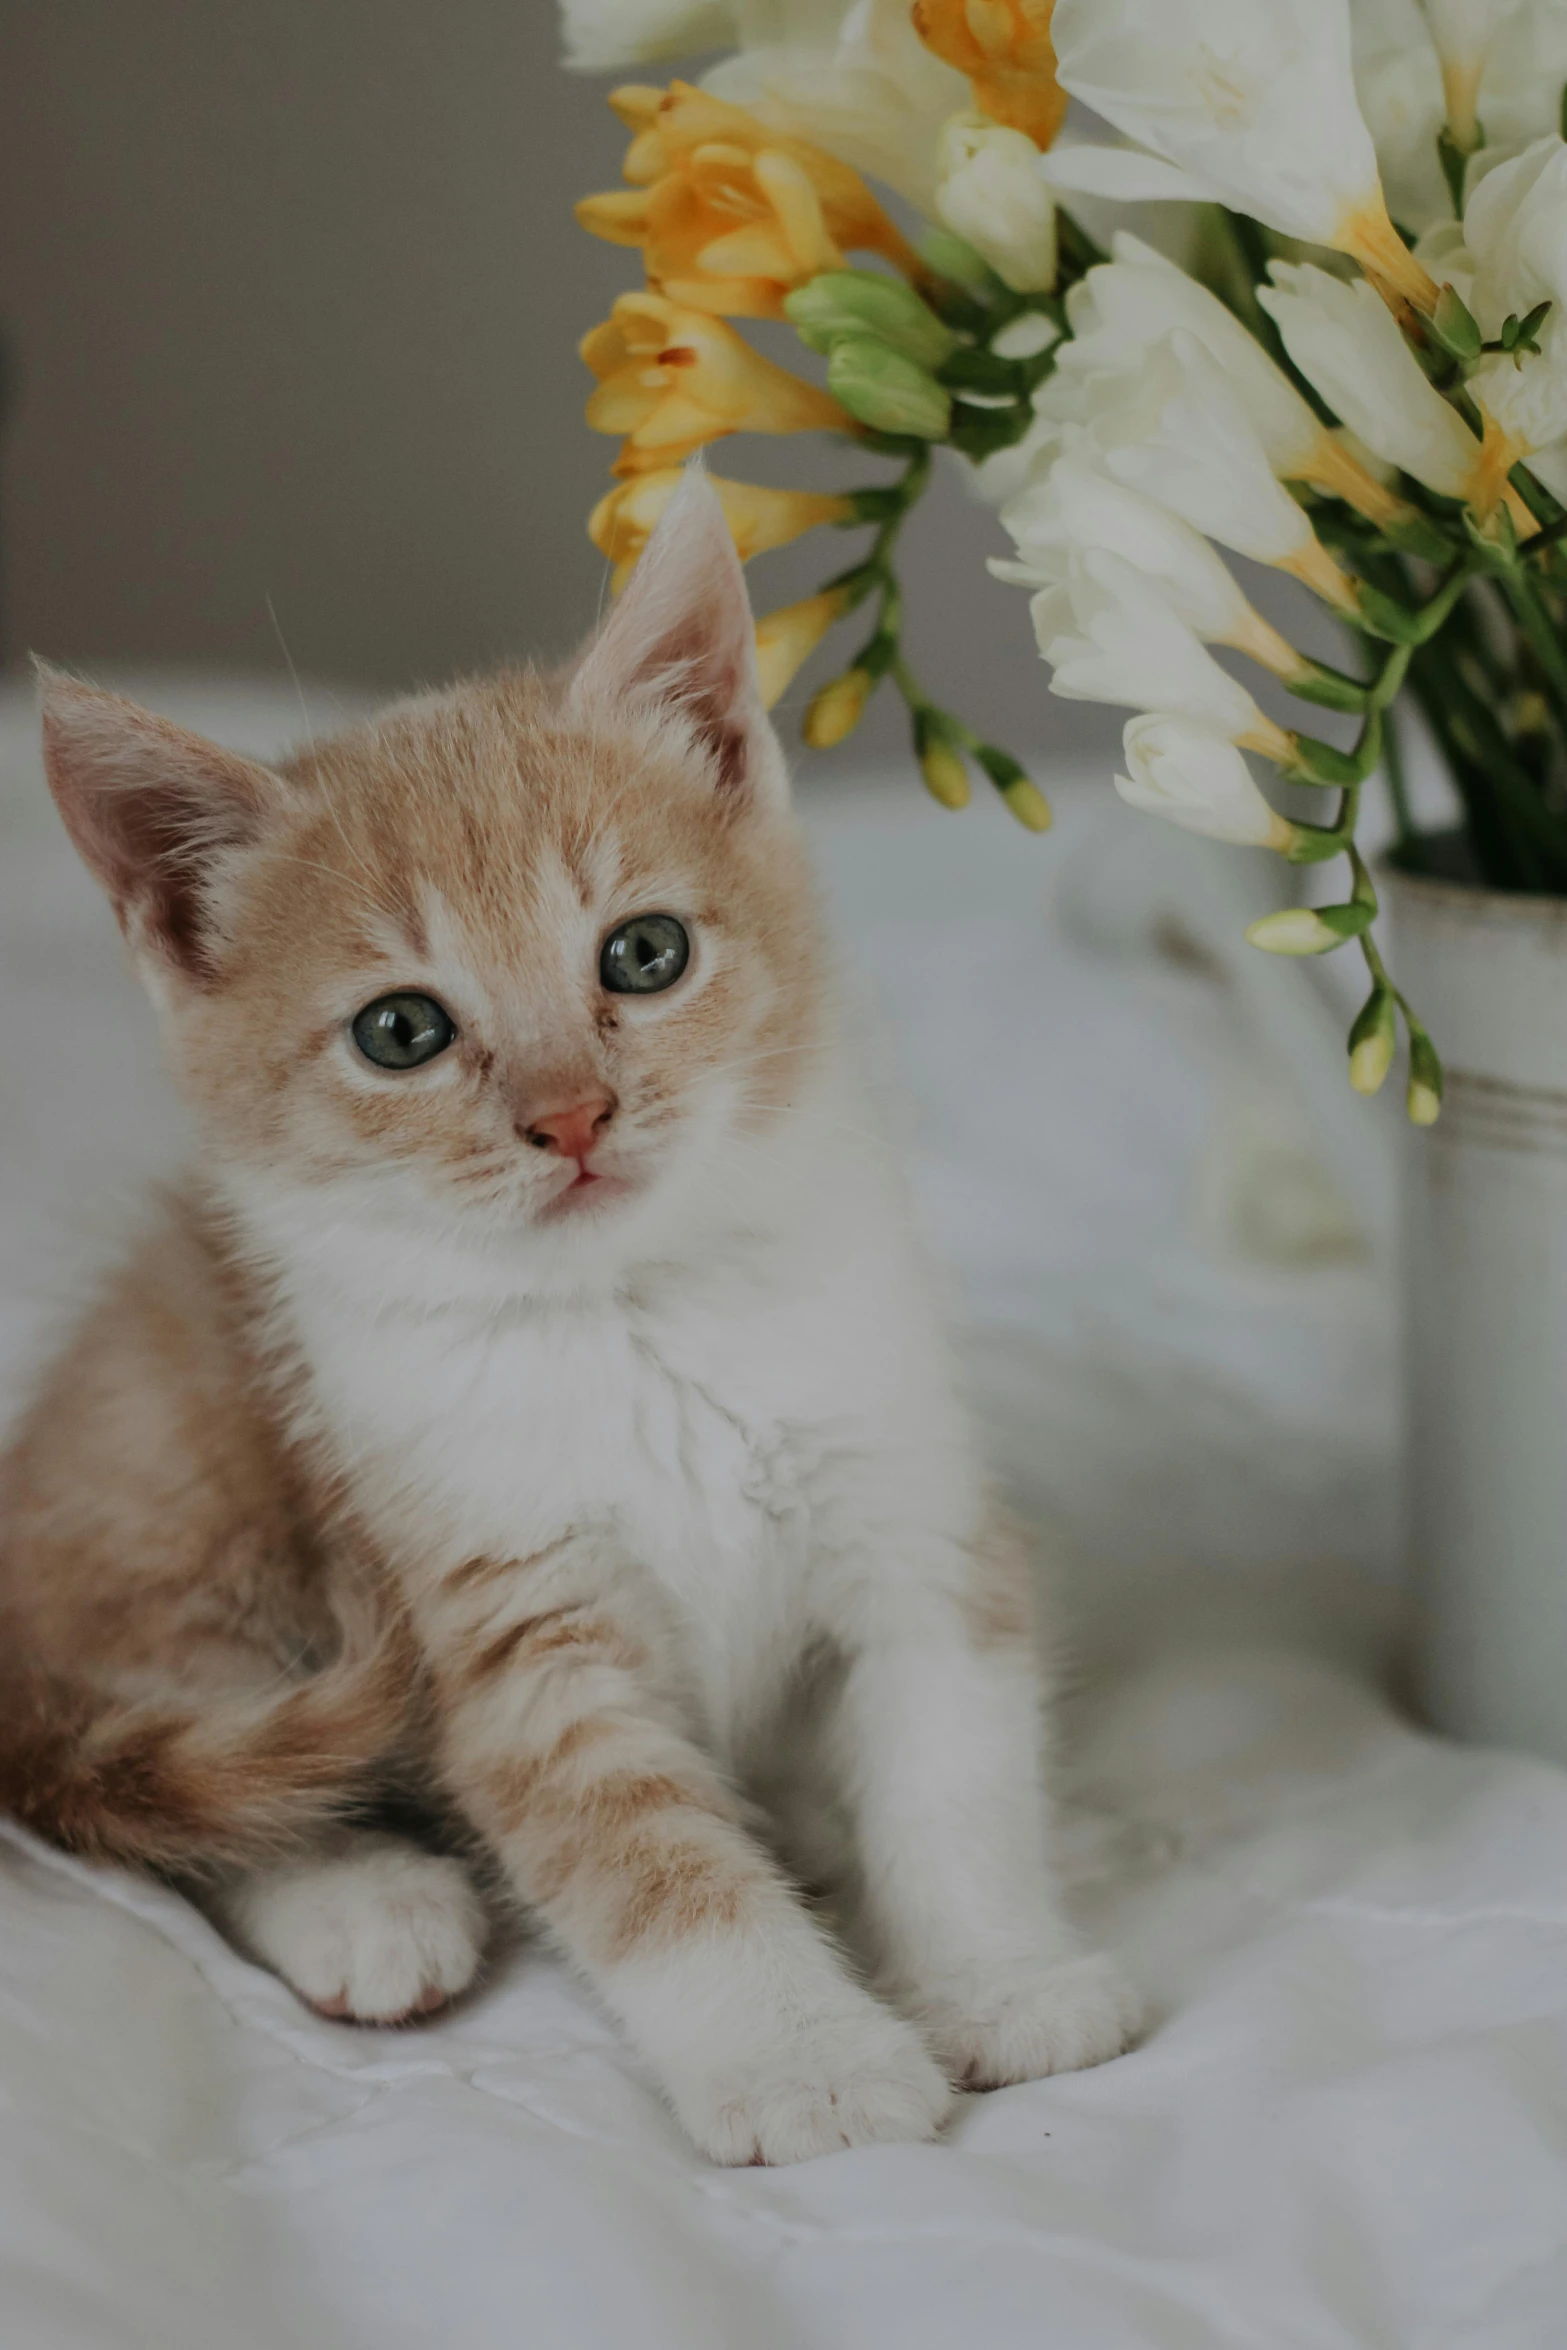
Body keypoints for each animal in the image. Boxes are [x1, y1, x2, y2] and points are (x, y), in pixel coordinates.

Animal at [0, 467, 1141, 2152]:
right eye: (401, 1032)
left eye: (642, 952)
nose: (572, 1114)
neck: (636, 1313)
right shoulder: (512, 1631)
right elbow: (649, 1860)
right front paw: (804, 2057)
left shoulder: (906, 1511)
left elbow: (949, 1768)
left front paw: (997, 1976)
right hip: (166, 1507)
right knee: (180, 1786)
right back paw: (367, 1902)